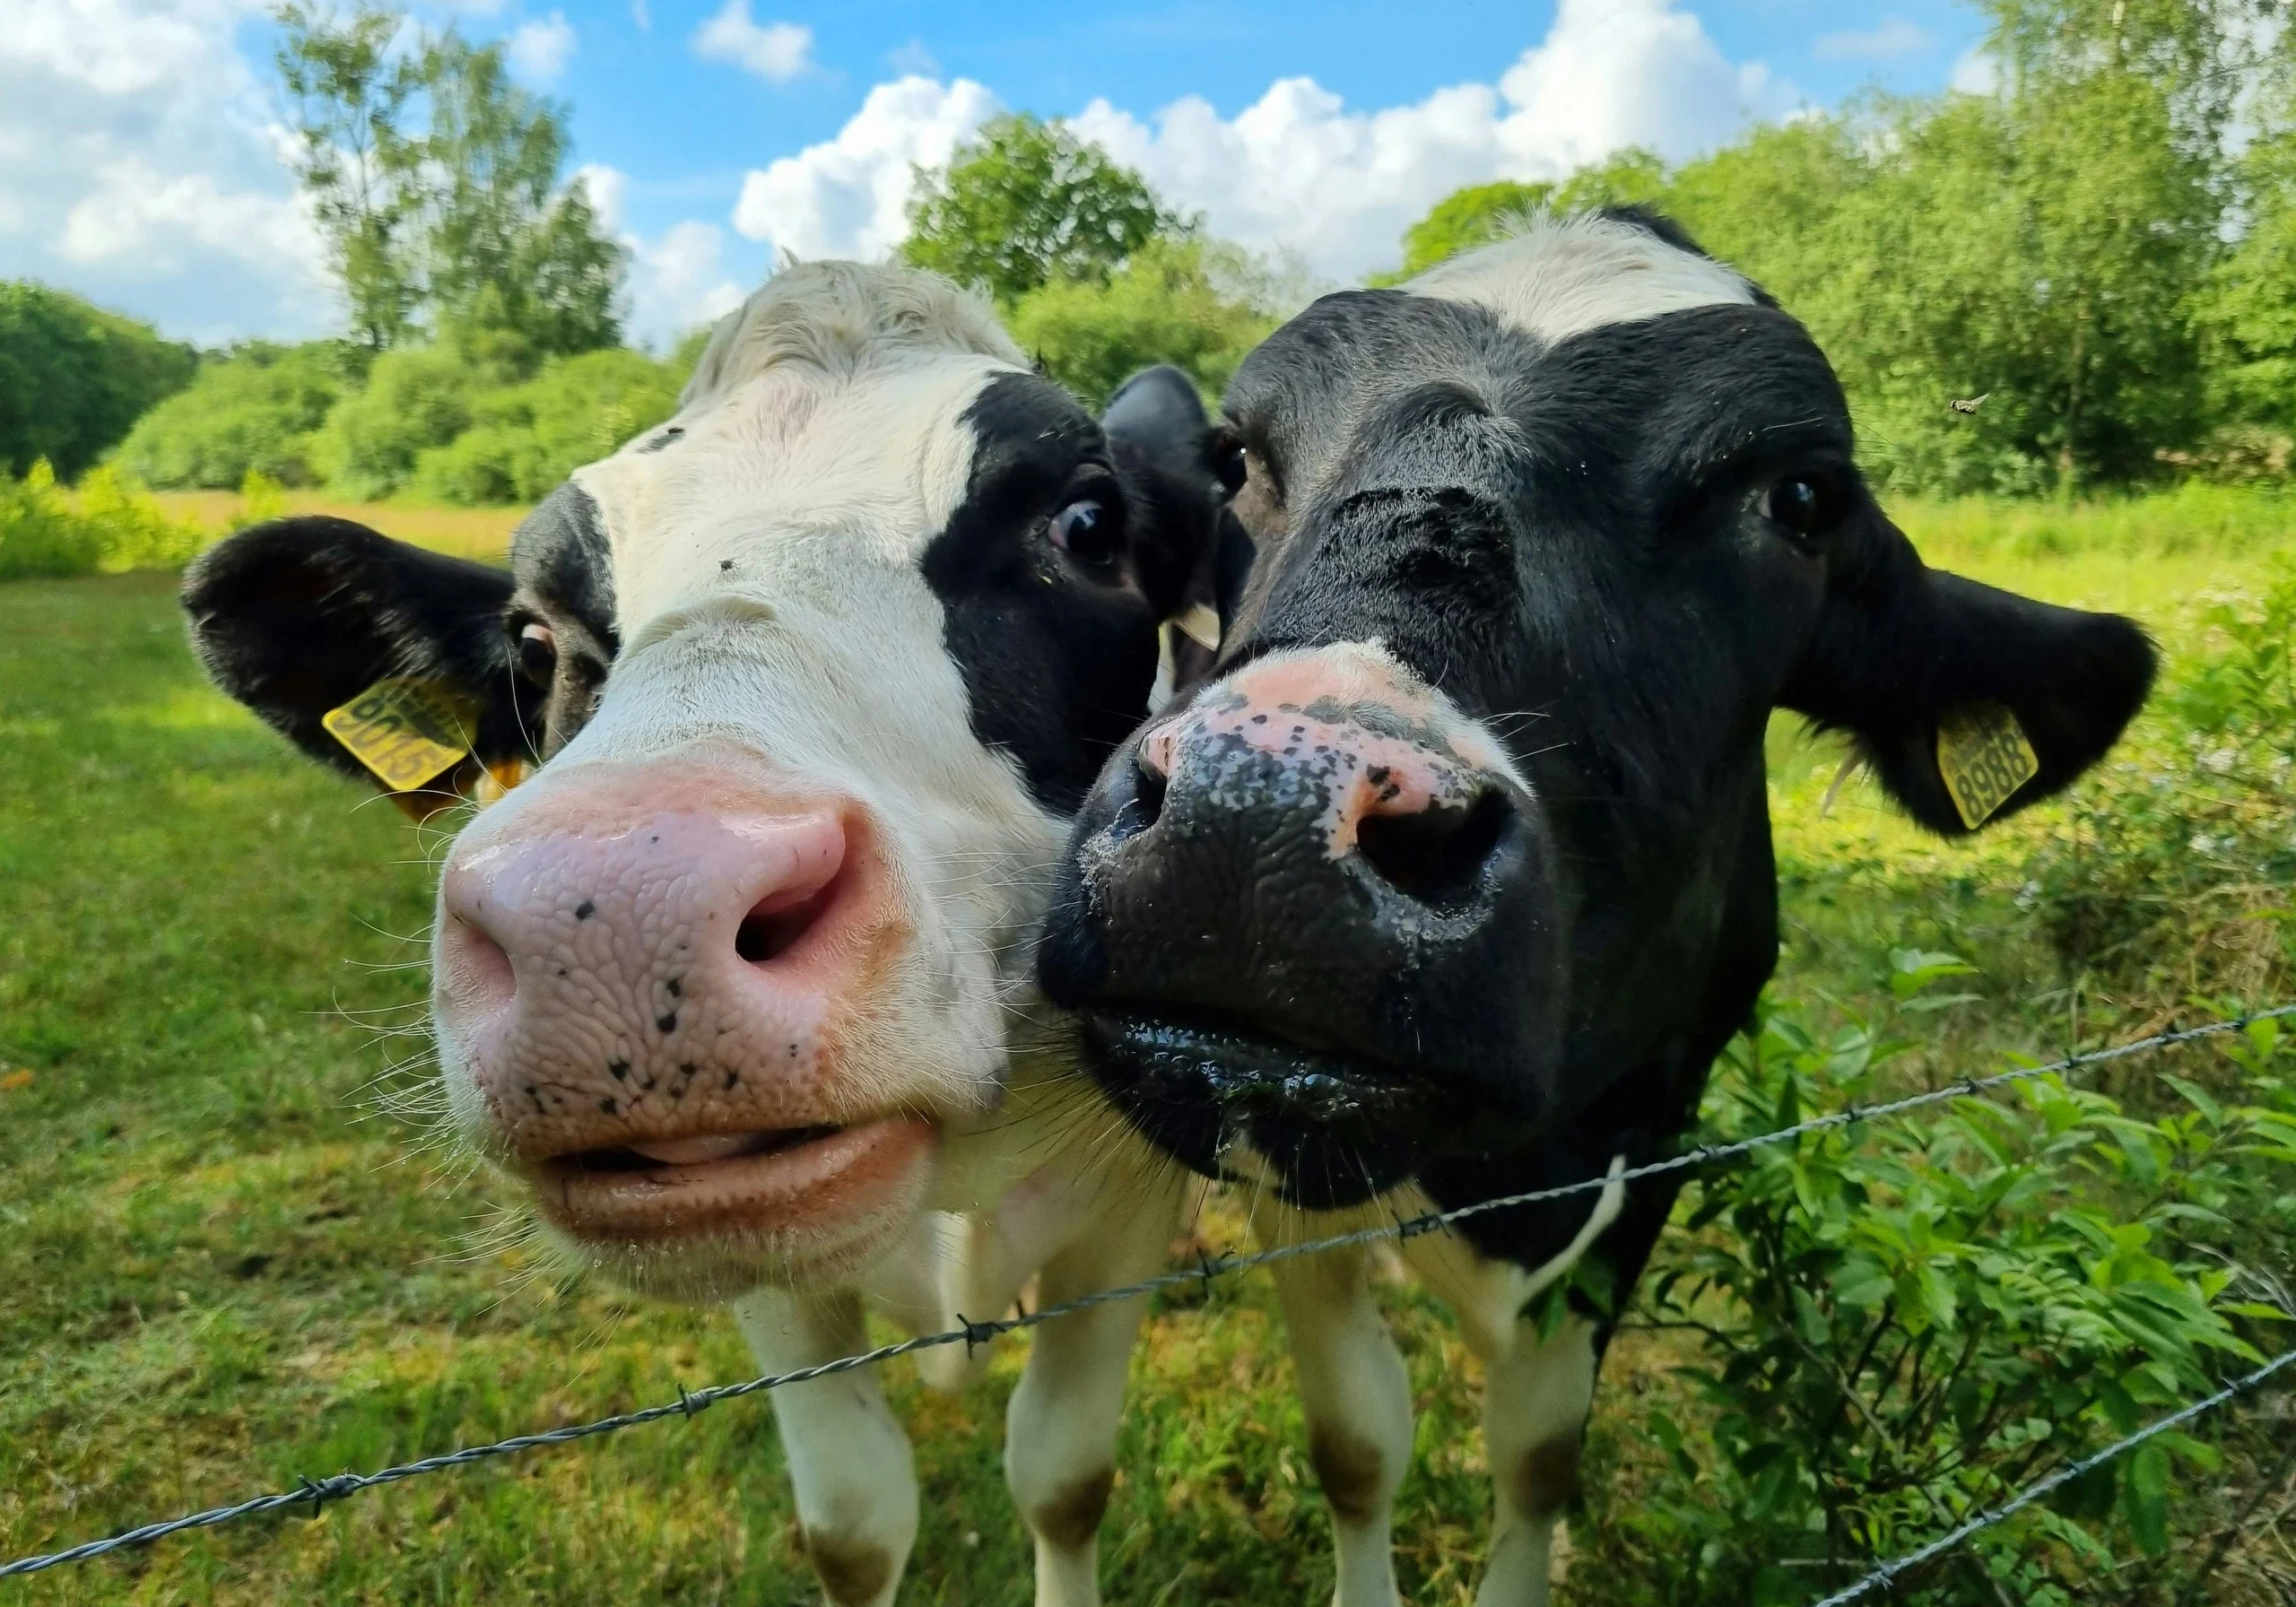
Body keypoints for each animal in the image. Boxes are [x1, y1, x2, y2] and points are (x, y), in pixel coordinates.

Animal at [181, 262, 1238, 1607]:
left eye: (1088, 526)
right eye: (533, 636)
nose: (622, 918)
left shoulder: (1121, 1218)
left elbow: (1062, 1475)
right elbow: (854, 1523)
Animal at [1038, 209, 2158, 1605]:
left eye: (1801, 498)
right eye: (1241, 456)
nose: (1260, 813)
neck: (1520, 1179)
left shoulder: (1656, 1125)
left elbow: (1540, 1458)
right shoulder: (1282, 1136)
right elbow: (1357, 1441)